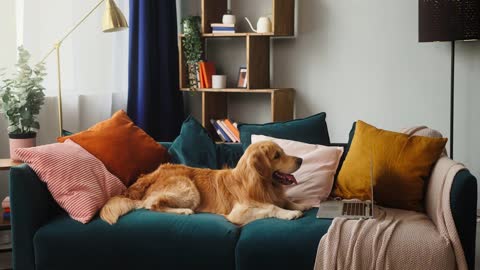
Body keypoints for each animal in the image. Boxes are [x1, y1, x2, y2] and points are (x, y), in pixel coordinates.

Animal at [101, 141, 312, 226]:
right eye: (277, 156)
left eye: (283, 152)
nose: (301, 160)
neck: (261, 184)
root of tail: (151, 175)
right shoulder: (239, 212)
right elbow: (271, 208)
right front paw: (290, 213)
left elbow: (284, 200)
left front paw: (301, 205)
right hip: (189, 188)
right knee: (152, 204)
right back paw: (183, 211)